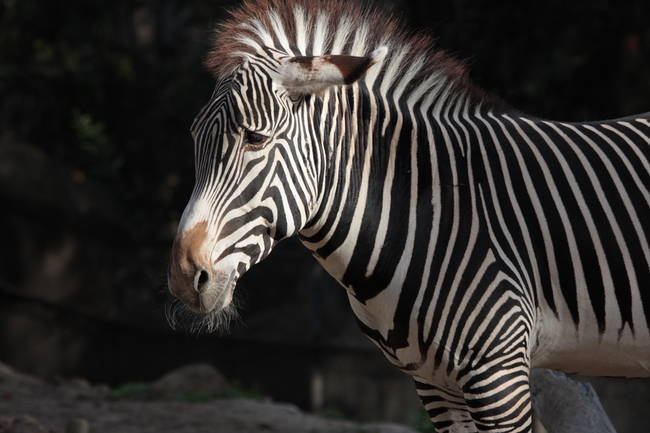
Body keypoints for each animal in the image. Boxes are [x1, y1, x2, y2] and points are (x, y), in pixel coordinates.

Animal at [167, 0, 648, 430]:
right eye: (192, 137)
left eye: (255, 138)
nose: (183, 275)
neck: (432, 207)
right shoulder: (435, 383)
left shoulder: (499, 372)